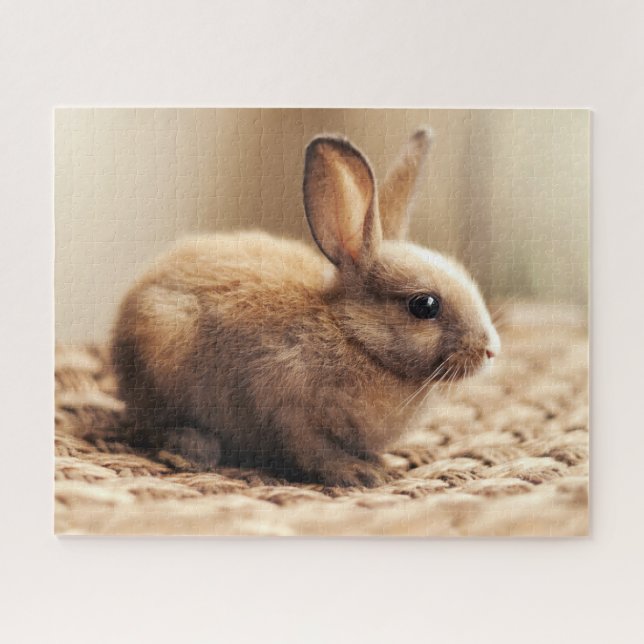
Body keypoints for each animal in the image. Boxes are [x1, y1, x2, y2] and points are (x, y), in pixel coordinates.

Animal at [111, 128, 500, 487]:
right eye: (424, 305)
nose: (490, 350)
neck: (355, 336)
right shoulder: (289, 409)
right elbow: (313, 450)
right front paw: (359, 474)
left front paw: (381, 463)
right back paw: (192, 450)